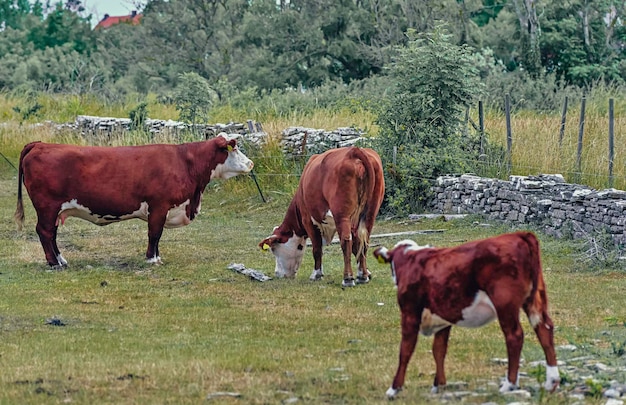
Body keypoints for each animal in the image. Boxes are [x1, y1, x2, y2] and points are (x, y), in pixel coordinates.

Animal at [15, 131, 254, 266]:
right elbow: (154, 234)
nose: (251, 163)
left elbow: (156, 236)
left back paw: (61, 259)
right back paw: (53, 263)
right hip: (47, 206)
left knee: (52, 233)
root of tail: (40, 144)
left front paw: (157, 257)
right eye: (234, 149)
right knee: (45, 232)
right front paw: (152, 259)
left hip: (54, 210)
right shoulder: (159, 206)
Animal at [256, 147, 382, 286]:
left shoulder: (308, 220)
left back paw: (348, 278)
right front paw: (366, 273)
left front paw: (316, 274)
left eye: (274, 249)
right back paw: (362, 276)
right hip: (370, 213)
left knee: (346, 242)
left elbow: (317, 248)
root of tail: (354, 151)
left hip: (342, 215)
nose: (277, 273)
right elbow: (356, 246)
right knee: (363, 241)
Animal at [372, 230, 560, 398]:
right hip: (535, 298)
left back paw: (509, 385)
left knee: (515, 336)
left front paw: (394, 389)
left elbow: (405, 350)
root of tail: (519, 234)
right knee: (544, 329)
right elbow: (439, 350)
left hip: (505, 303)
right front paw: (439, 385)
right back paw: (551, 382)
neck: (410, 259)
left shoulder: (410, 311)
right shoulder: (443, 316)